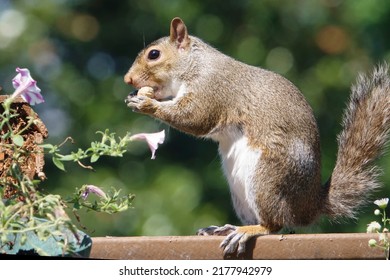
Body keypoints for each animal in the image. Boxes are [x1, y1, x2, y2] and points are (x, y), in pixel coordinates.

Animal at [124, 17, 390, 258]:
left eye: (154, 54)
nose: (128, 79)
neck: (196, 64)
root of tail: (309, 205)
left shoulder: (212, 89)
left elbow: (194, 118)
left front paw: (147, 104)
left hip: (267, 178)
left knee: (275, 225)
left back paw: (248, 231)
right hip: (240, 192)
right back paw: (227, 228)